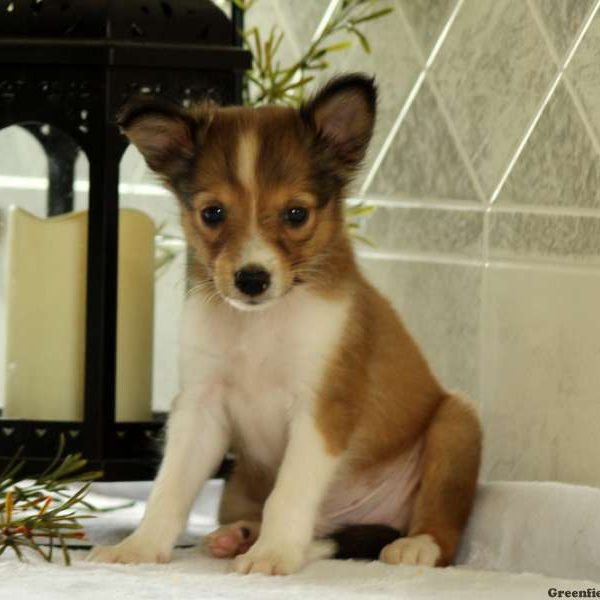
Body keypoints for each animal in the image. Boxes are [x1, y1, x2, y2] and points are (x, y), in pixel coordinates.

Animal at [89, 72, 482, 576]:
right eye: (213, 213)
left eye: (296, 214)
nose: (252, 279)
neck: (258, 325)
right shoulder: (200, 408)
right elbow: (169, 487)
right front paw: (140, 547)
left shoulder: (320, 408)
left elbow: (289, 494)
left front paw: (273, 554)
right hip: (238, 482)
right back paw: (236, 536)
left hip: (458, 422)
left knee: (440, 530)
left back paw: (414, 546)